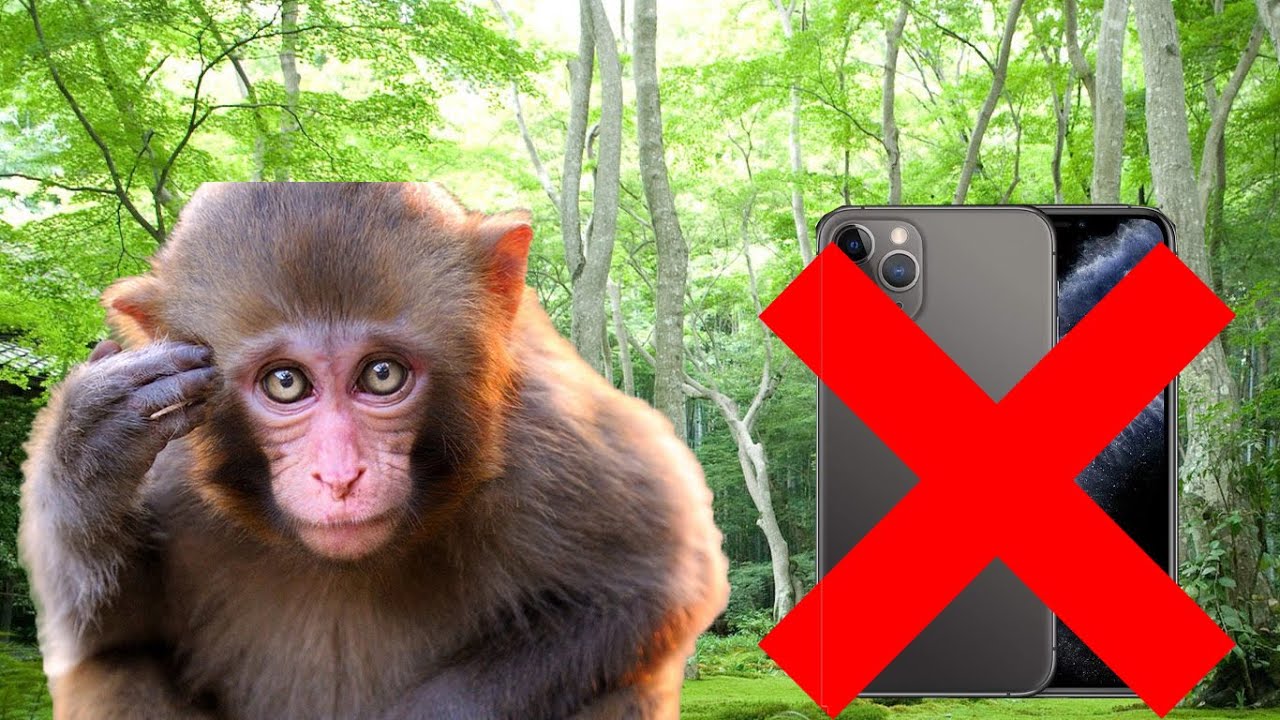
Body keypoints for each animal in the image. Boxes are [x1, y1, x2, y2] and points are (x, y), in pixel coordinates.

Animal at [19, 182, 729, 720]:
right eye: (285, 382)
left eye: (382, 375)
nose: (339, 477)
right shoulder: (171, 448)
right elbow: (103, 635)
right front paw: (88, 444)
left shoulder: (555, 435)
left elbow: (654, 584)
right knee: (119, 670)